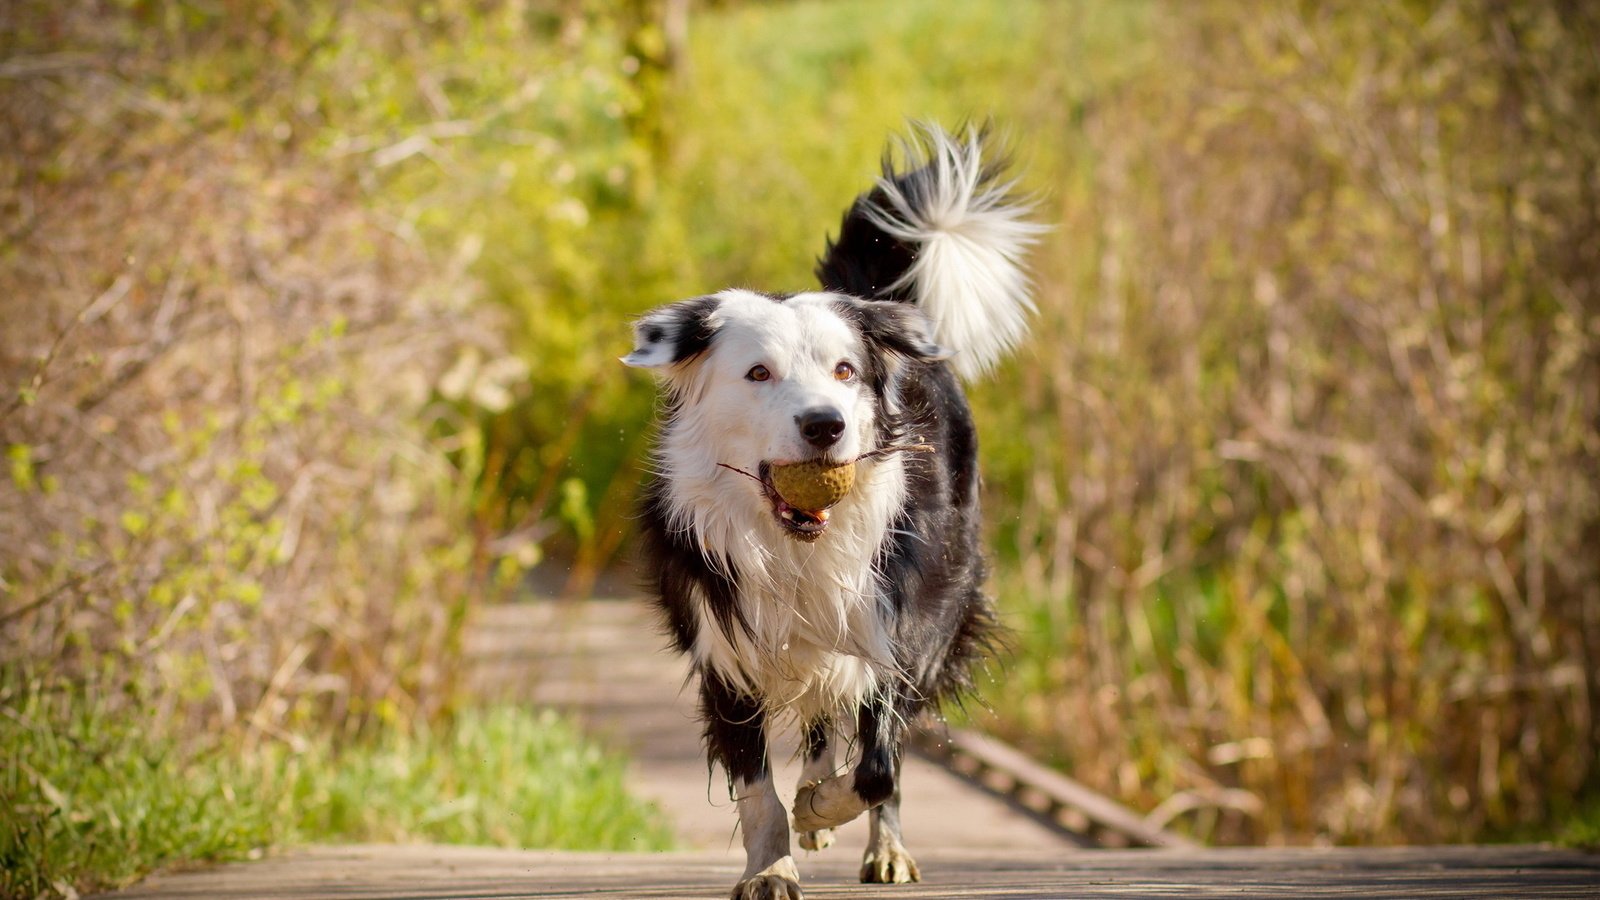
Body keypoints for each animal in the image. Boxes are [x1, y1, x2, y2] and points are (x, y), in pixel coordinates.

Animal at [617, 120, 1043, 896]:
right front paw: (772, 865)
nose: (825, 425)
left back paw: (879, 845)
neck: (796, 544)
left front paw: (821, 810)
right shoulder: (726, 644)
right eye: (758, 373)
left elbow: (879, 767)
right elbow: (757, 786)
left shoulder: (904, 627)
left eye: (846, 371)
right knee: (819, 715)